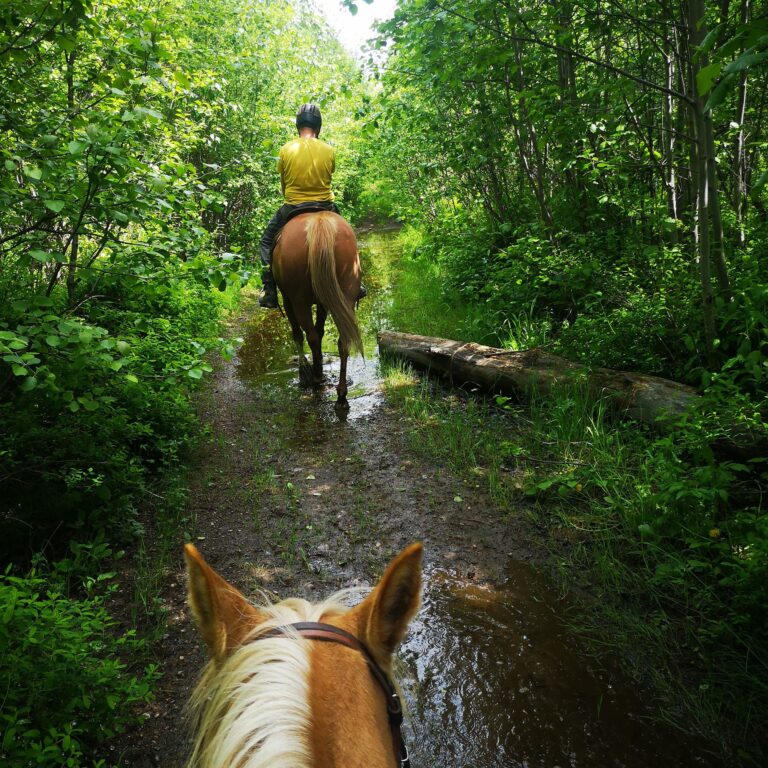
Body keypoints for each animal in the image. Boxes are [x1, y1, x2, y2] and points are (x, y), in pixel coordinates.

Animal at [272, 211, 364, 407]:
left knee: (310, 336)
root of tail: (320, 223)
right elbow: (320, 331)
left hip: (299, 301)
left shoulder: (288, 300)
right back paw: (341, 393)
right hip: (346, 295)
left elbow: (298, 334)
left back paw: (315, 378)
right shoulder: (323, 302)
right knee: (342, 340)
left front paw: (305, 371)